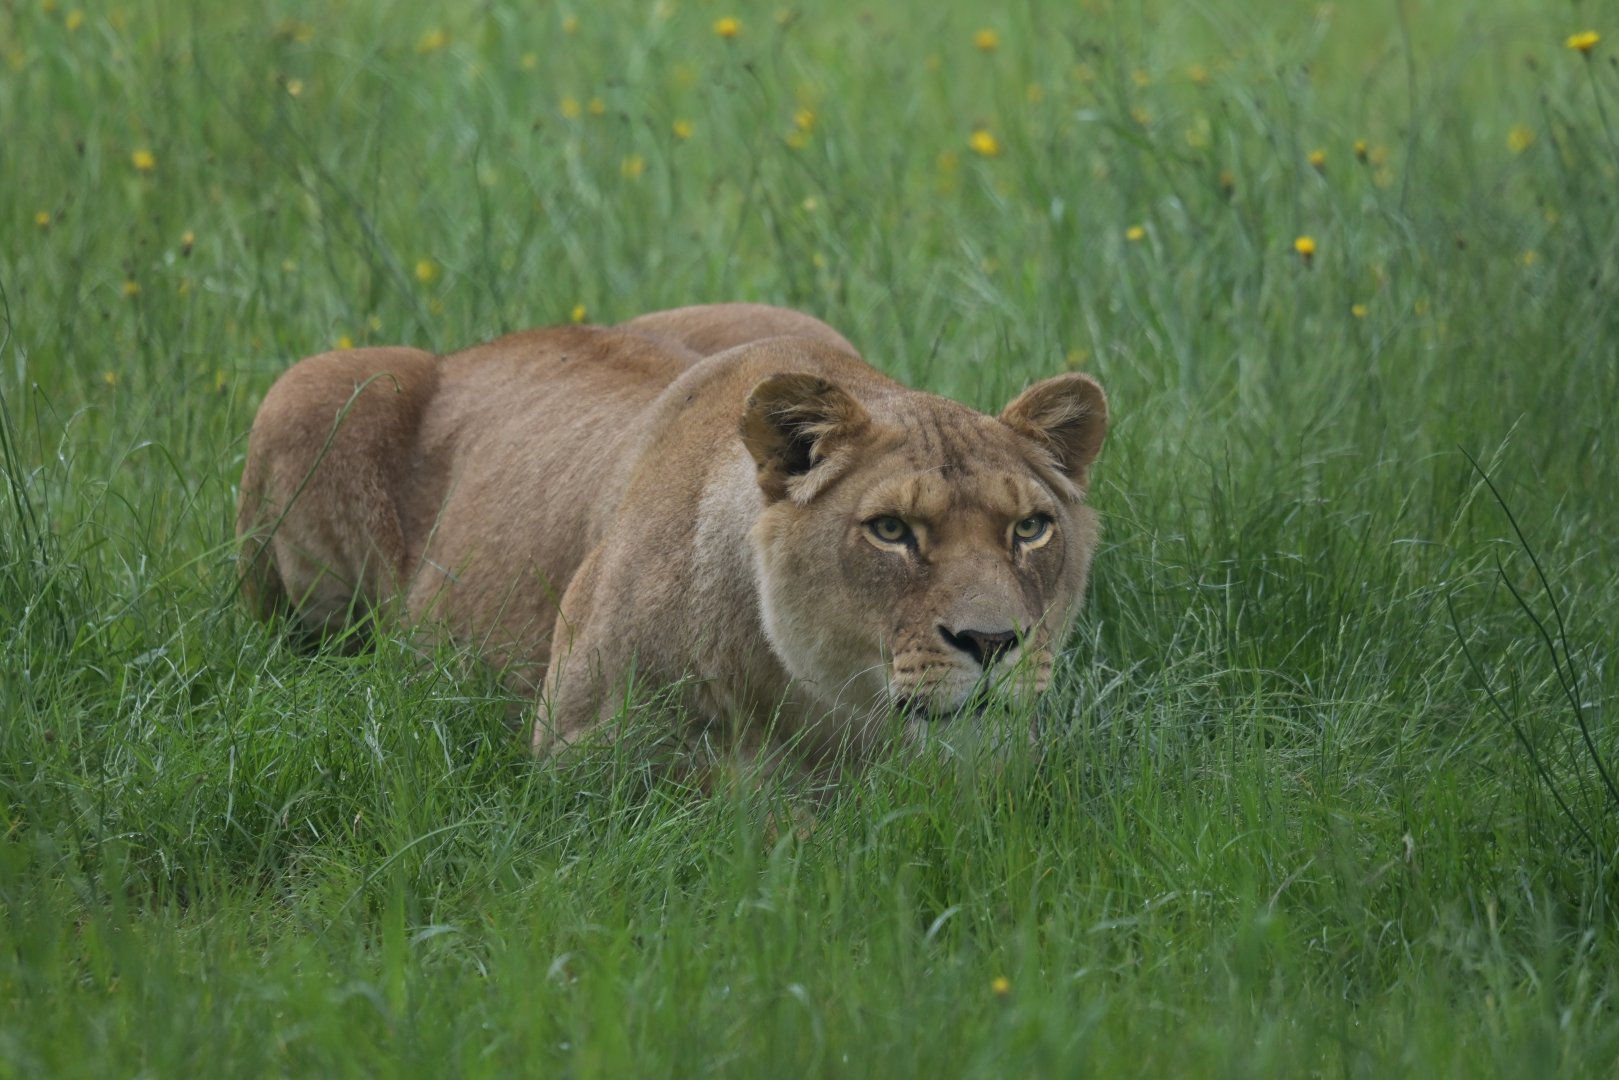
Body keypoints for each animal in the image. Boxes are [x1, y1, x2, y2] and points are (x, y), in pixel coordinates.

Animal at [237, 303, 1108, 768]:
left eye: (1030, 528)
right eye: (890, 530)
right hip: (314, 386)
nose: (993, 643)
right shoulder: (576, 762)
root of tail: (472, 349)